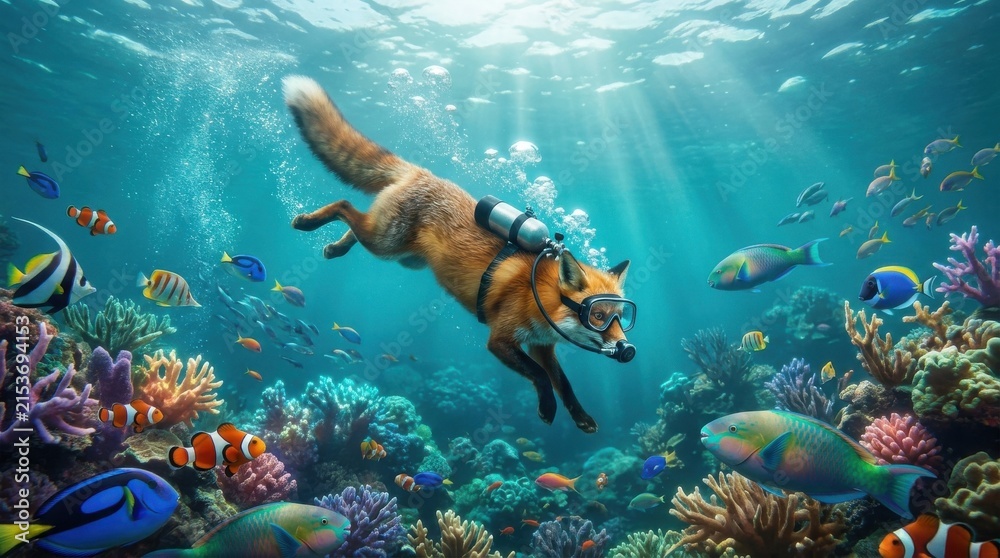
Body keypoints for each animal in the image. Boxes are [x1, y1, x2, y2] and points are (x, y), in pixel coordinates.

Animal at [282, 75, 631, 433]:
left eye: (622, 318)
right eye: (598, 316)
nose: (627, 348)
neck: (539, 291)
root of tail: (424, 173)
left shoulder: (541, 346)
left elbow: (564, 382)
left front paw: (580, 416)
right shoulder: (500, 340)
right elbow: (540, 377)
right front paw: (547, 408)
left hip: (403, 256)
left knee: (355, 224)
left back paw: (334, 247)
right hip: (385, 243)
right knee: (344, 206)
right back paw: (308, 222)